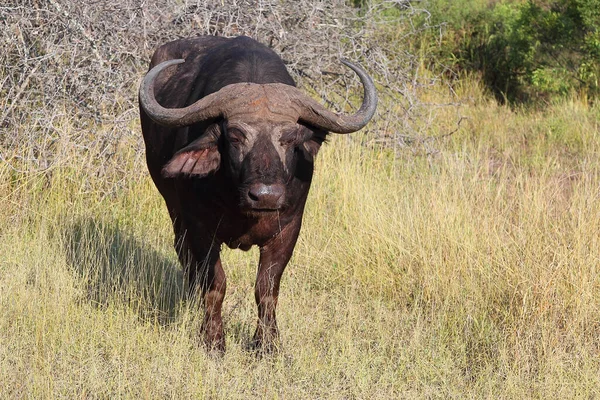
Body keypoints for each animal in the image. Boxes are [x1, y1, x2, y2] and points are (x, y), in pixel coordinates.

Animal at [138, 36, 378, 352]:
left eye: (289, 137)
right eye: (236, 136)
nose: (265, 196)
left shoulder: (287, 229)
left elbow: (266, 287)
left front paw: (267, 344)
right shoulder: (200, 227)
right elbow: (215, 283)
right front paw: (213, 340)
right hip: (174, 211)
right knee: (185, 257)